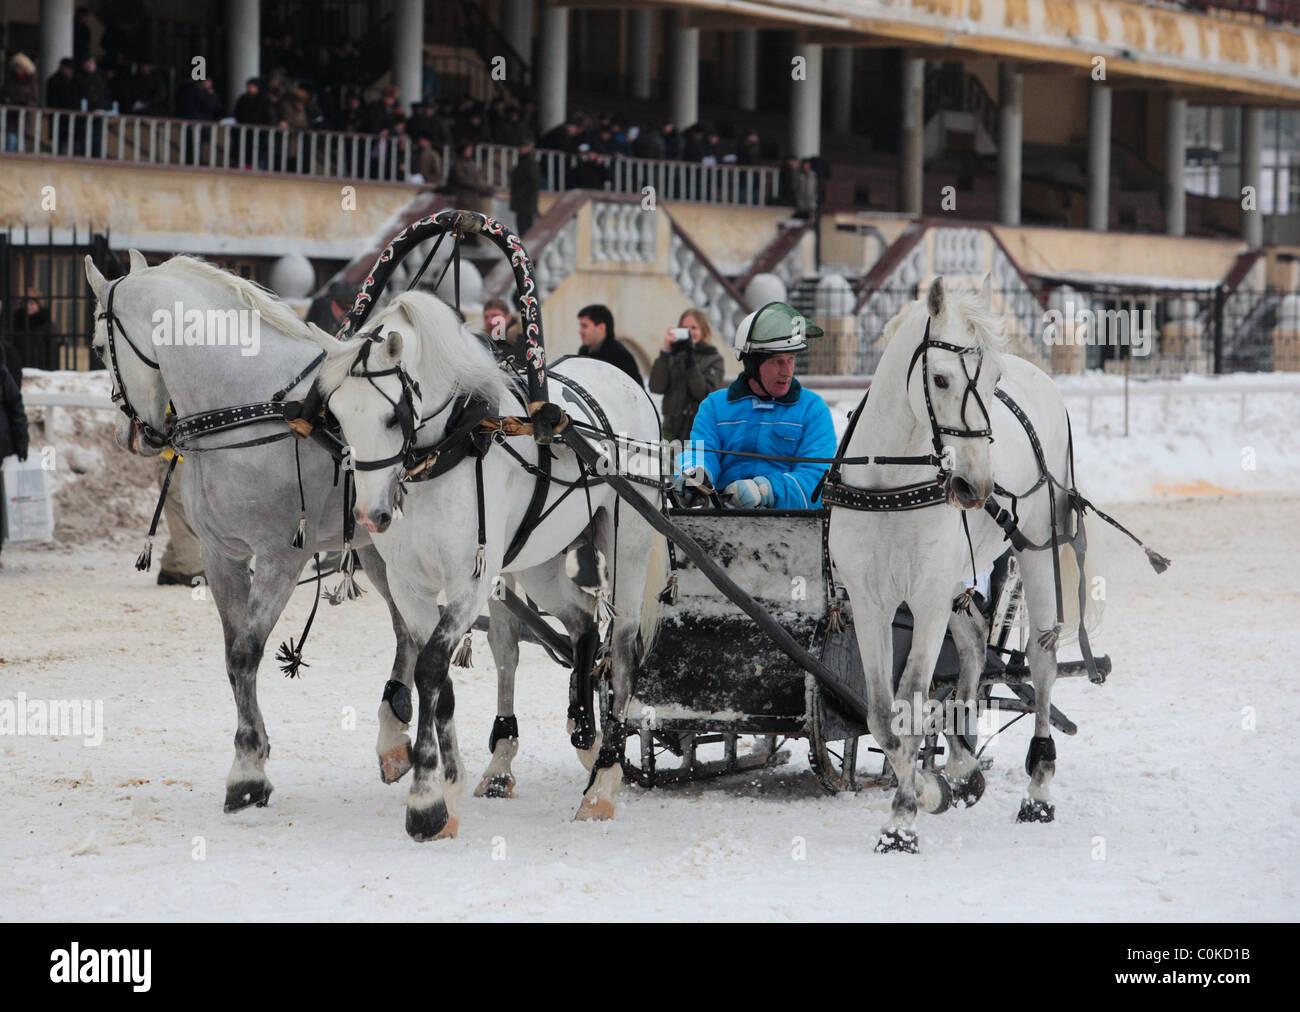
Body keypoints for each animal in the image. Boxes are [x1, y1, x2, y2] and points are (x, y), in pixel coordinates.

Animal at [314, 286, 660, 837]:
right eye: (340, 415)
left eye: (391, 417)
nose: (371, 515)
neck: (453, 447)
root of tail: (627, 380)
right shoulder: (410, 586)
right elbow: (440, 679)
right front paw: (449, 790)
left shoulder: (468, 582)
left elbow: (432, 667)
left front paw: (426, 802)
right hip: (538, 559)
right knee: (583, 621)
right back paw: (583, 729)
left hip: (627, 543)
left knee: (623, 648)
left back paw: (603, 784)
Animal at [826, 275, 1102, 853]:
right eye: (941, 378)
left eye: (992, 381)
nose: (975, 485)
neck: (893, 483)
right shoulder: (869, 601)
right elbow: (882, 716)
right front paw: (932, 786)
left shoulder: (928, 600)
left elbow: (911, 703)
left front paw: (904, 817)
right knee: (975, 642)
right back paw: (961, 764)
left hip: (1036, 548)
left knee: (1041, 661)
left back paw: (1037, 789)